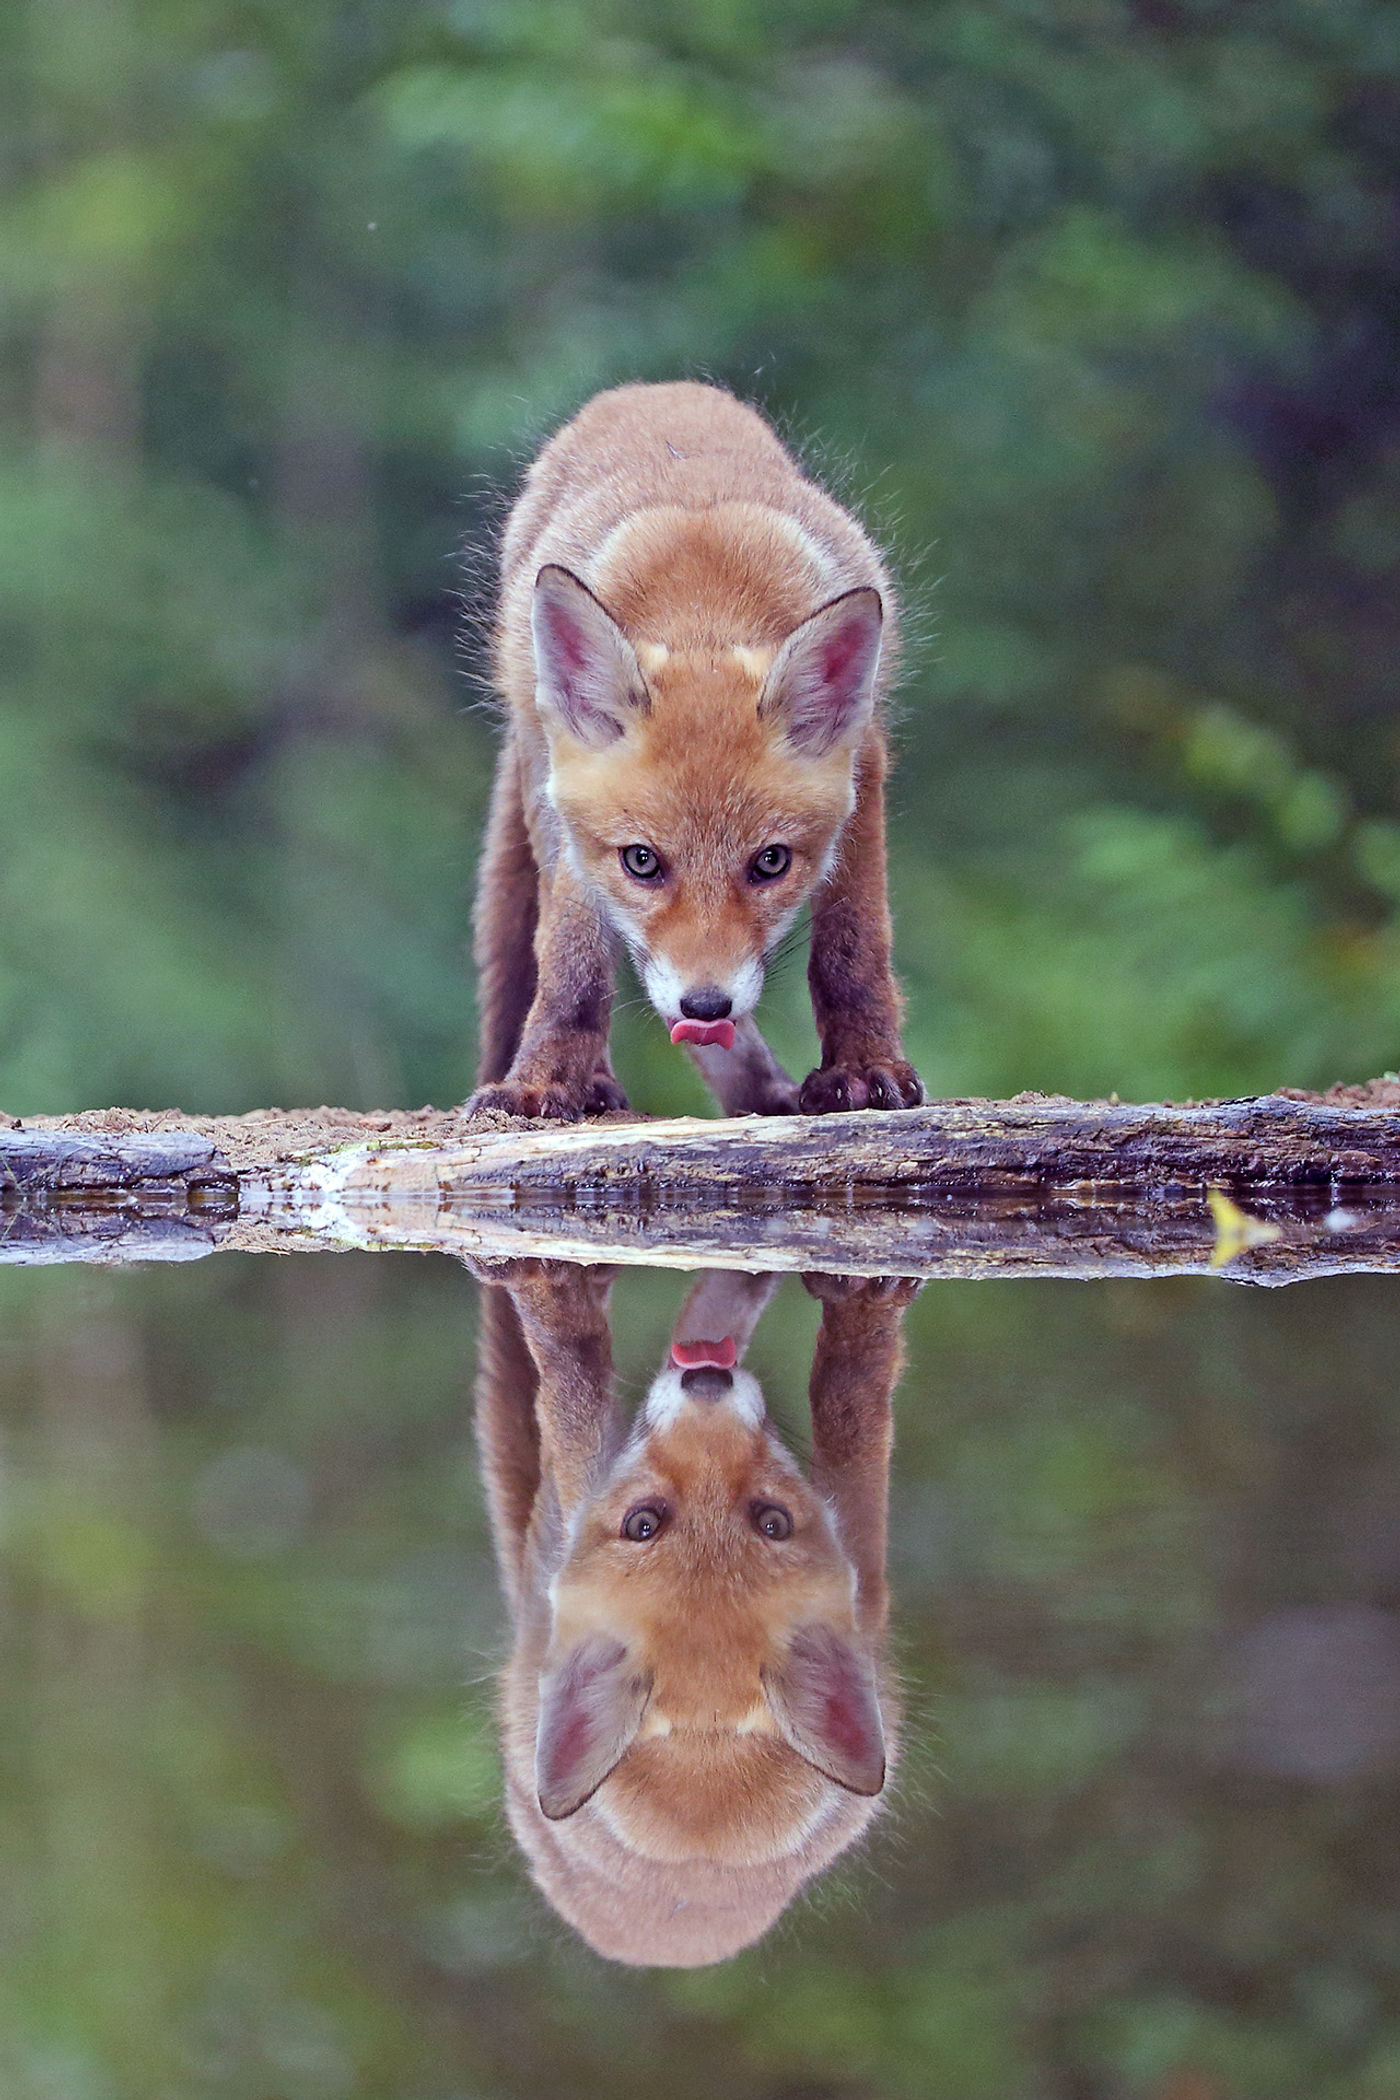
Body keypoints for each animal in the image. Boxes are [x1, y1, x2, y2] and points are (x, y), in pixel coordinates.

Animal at [470, 384, 923, 1125]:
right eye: (642, 861)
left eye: (770, 863)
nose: (706, 1006)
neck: (702, 602)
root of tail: (651, 390)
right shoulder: (575, 830)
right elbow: (571, 965)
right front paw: (543, 1082)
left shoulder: (865, 765)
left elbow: (851, 948)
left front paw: (862, 1068)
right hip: (538, 764)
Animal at [470, 1260, 915, 1965]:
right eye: (644, 1523)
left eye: (771, 1520)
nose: (708, 1381)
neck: (706, 1760)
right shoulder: (864, 1587)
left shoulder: (864, 1585)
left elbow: (854, 1406)